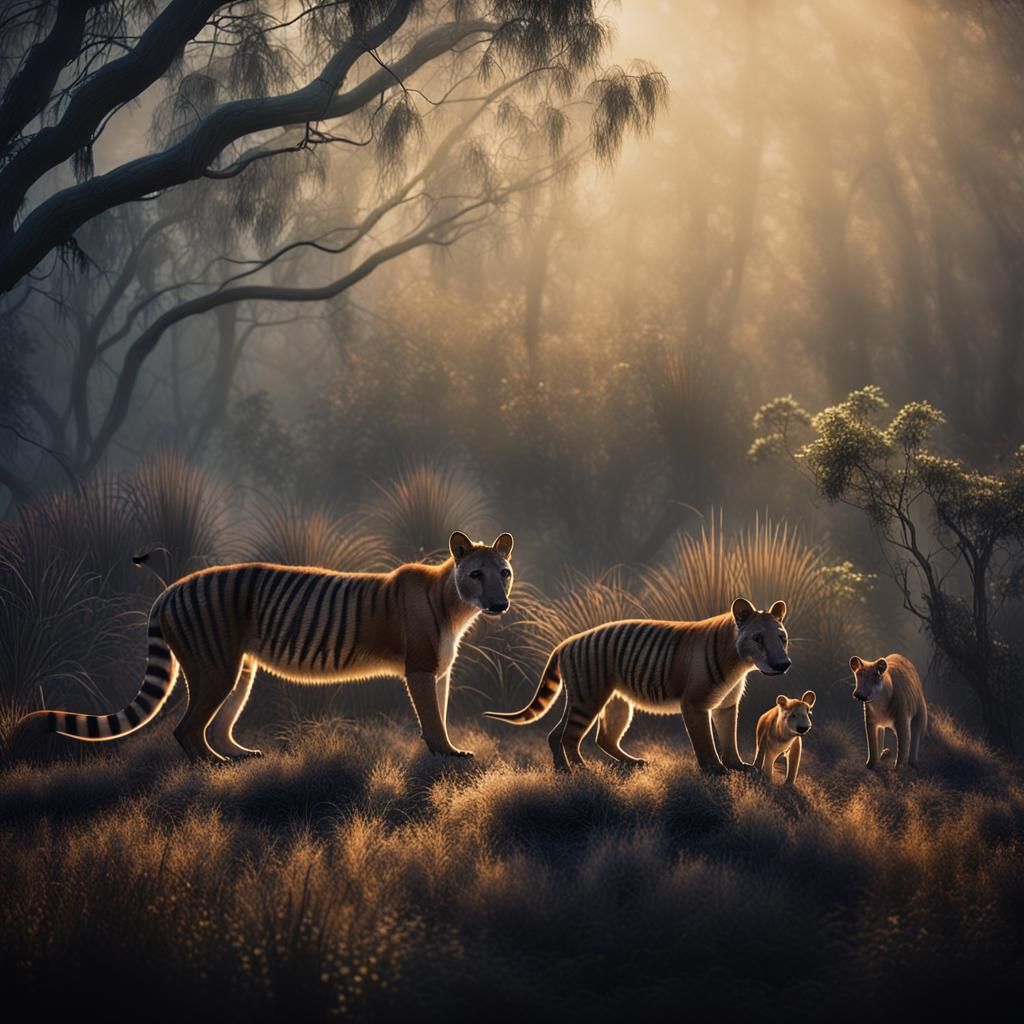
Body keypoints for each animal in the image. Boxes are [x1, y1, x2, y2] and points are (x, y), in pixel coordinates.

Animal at [13, 531, 514, 763]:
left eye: (503, 572)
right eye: (476, 574)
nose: (500, 603)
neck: (455, 604)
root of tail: (172, 587)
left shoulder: (438, 672)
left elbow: (441, 713)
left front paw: (449, 749)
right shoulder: (421, 669)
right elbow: (431, 716)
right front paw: (446, 754)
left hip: (240, 670)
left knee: (218, 725)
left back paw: (238, 756)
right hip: (215, 669)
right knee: (187, 728)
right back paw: (212, 767)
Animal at [485, 597, 791, 773]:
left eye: (781, 637)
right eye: (758, 638)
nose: (783, 664)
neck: (739, 663)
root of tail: (567, 641)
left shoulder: (726, 705)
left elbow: (729, 737)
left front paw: (737, 765)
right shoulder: (695, 704)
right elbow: (704, 740)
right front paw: (715, 769)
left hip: (609, 702)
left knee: (582, 735)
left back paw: (582, 767)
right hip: (589, 698)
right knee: (570, 736)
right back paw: (581, 770)